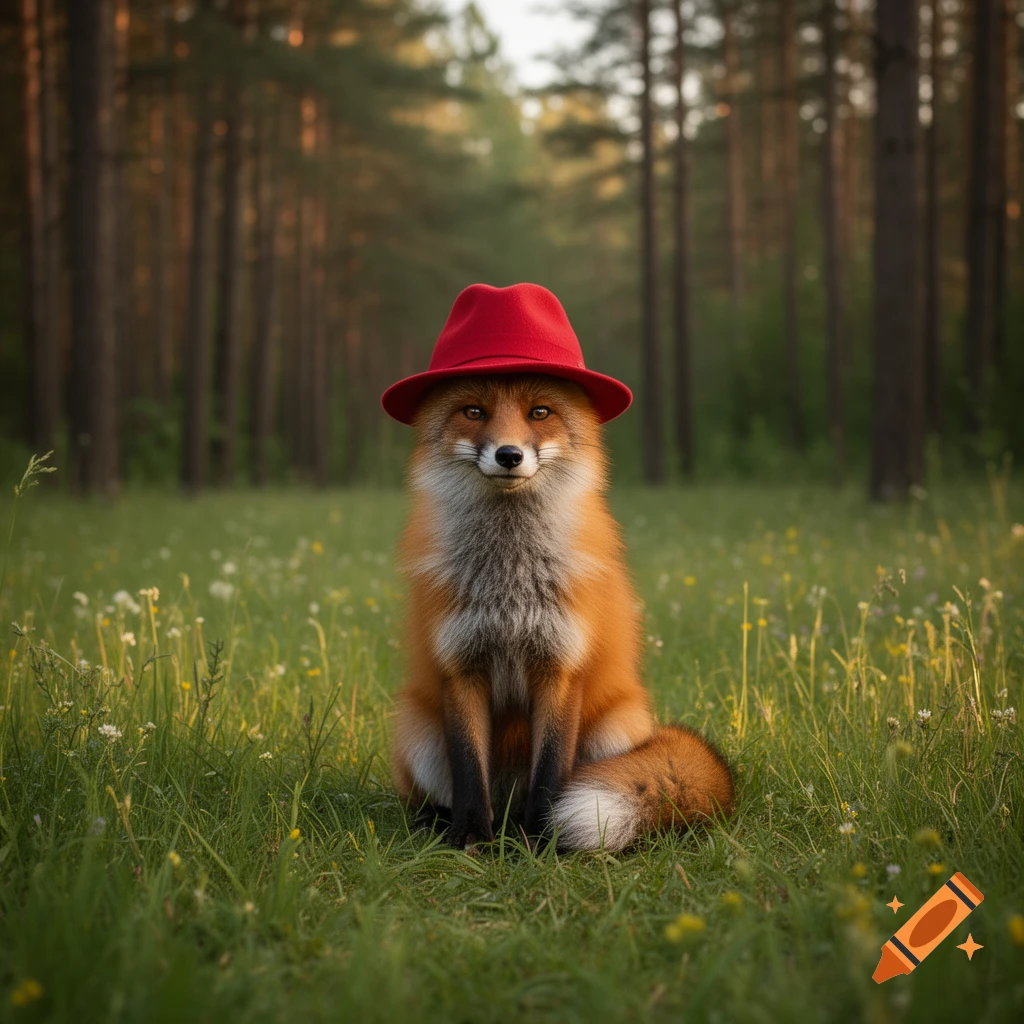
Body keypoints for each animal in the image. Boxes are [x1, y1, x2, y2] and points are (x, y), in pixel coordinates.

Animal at [390, 372, 735, 850]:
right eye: (473, 411)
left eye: (540, 412)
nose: (509, 455)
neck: (509, 587)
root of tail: (509, 802)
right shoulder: (460, 667)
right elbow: (468, 770)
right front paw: (470, 836)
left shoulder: (561, 665)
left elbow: (551, 770)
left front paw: (540, 839)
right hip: (417, 733)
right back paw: (444, 823)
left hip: (613, 728)